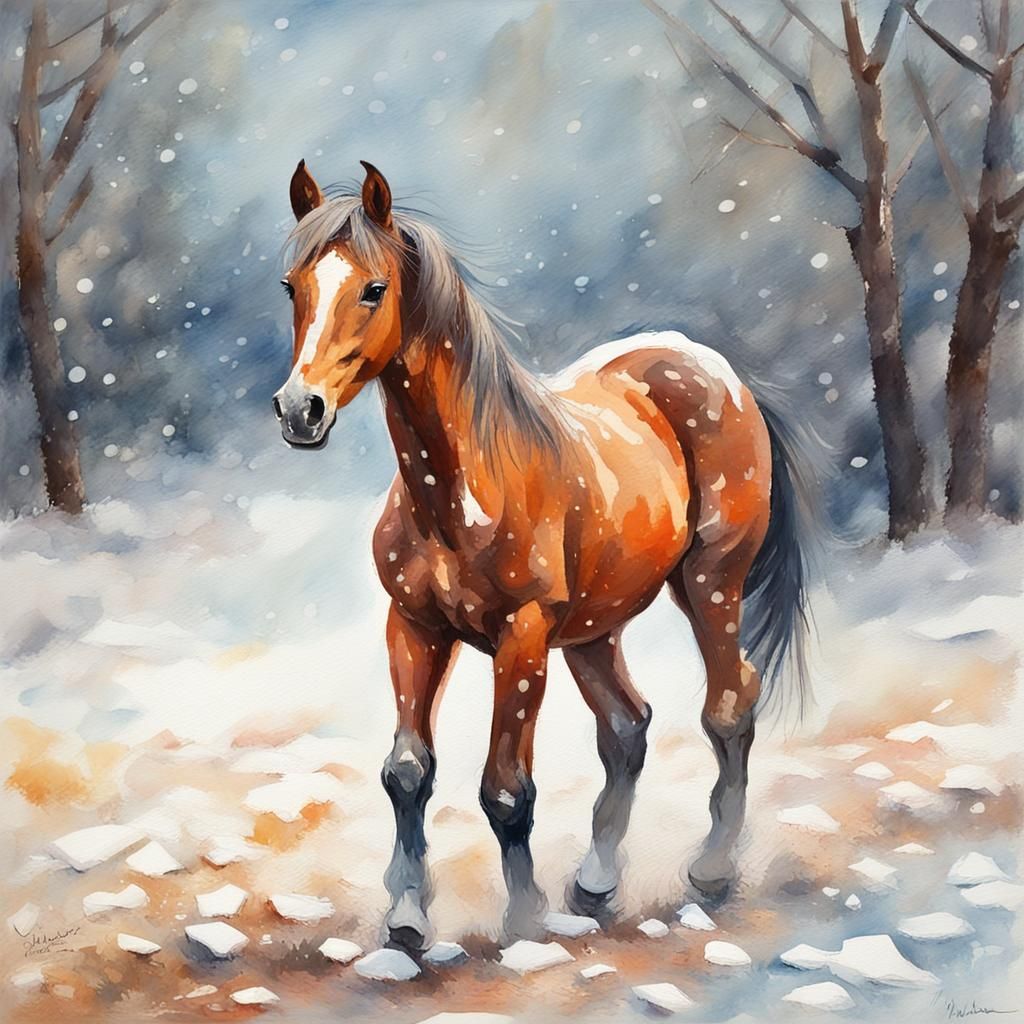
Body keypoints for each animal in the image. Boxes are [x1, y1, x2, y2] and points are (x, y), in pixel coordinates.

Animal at [273, 159, 811, 949]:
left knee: (729, 704)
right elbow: (407, 771)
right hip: (593, 627)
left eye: (372, 288)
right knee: (627, 727)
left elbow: (505, 789)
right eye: (292, 287)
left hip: (710, 584)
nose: (298, 409)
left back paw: (712, 870)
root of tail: (722, 372)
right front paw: (406, 918)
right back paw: (596, 884)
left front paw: (523, 918)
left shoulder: (520, 639)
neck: (465, 487)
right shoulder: (413, 627)